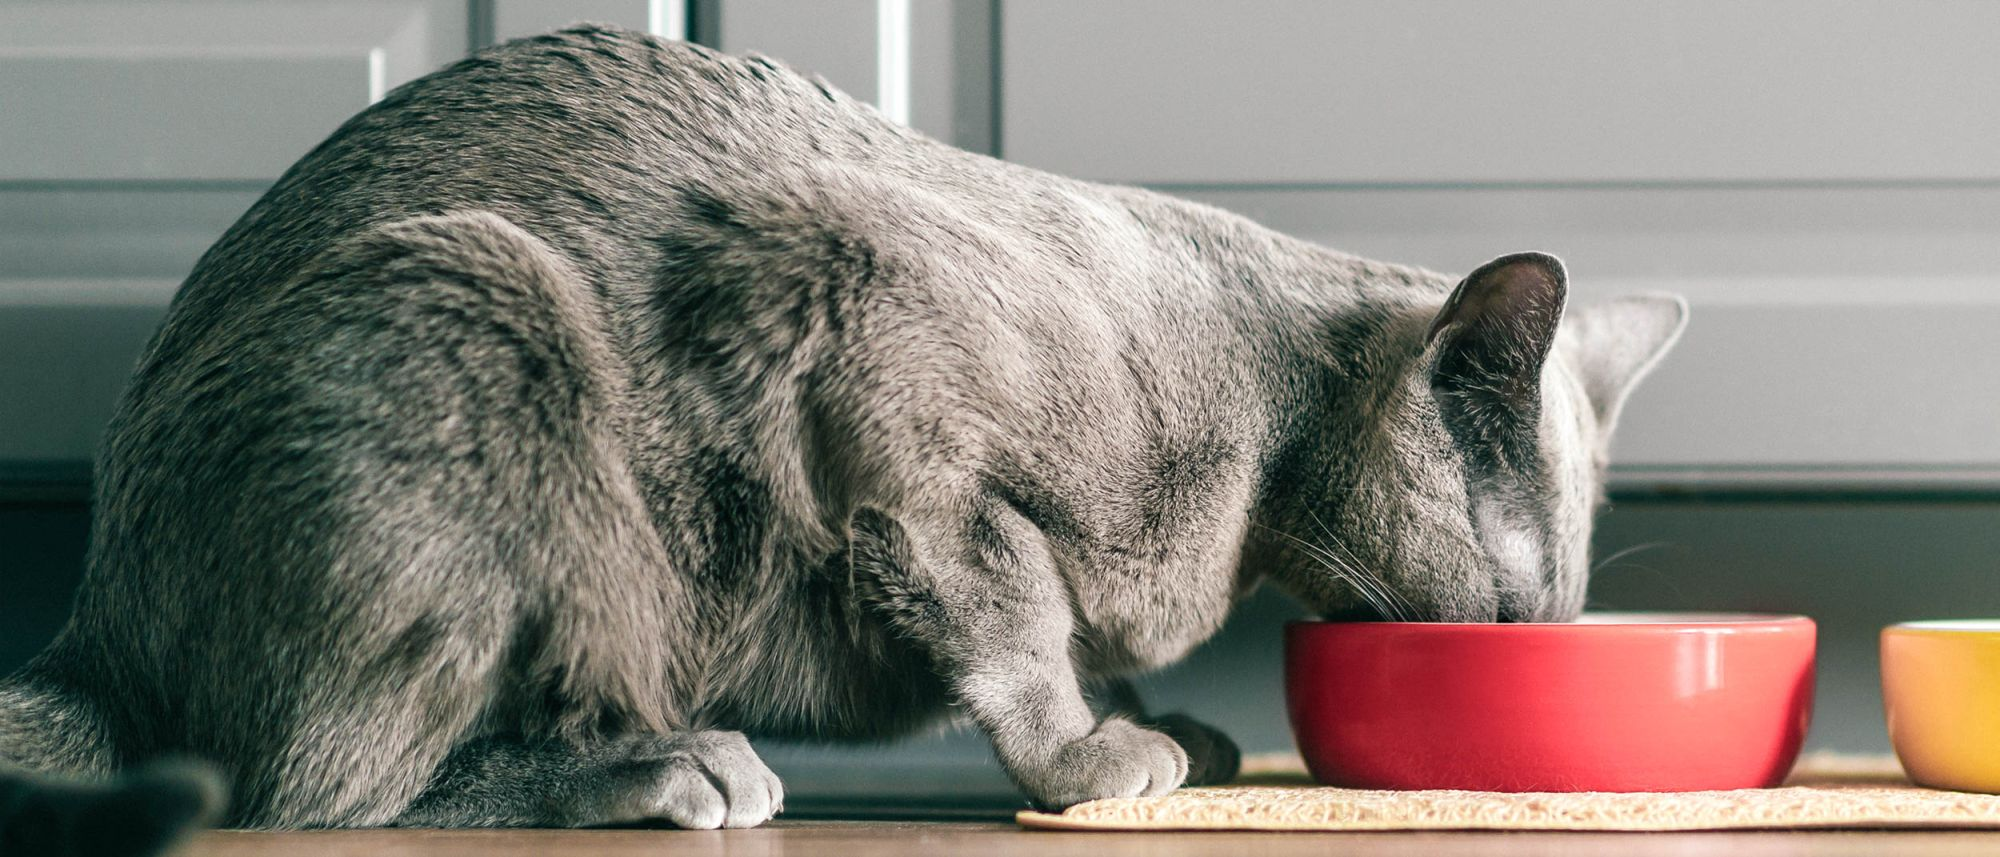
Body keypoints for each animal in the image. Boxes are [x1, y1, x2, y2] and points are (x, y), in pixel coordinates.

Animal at [0, 23, 1688, 852]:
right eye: (1520, 605)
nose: (1532, 645)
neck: (1255, 463)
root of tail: (91, 632)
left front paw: (1164, 721)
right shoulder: (884, 370)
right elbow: (1016, 607)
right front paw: (1091, 754)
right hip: (478, 300)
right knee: (306, 783)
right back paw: (652, 770)